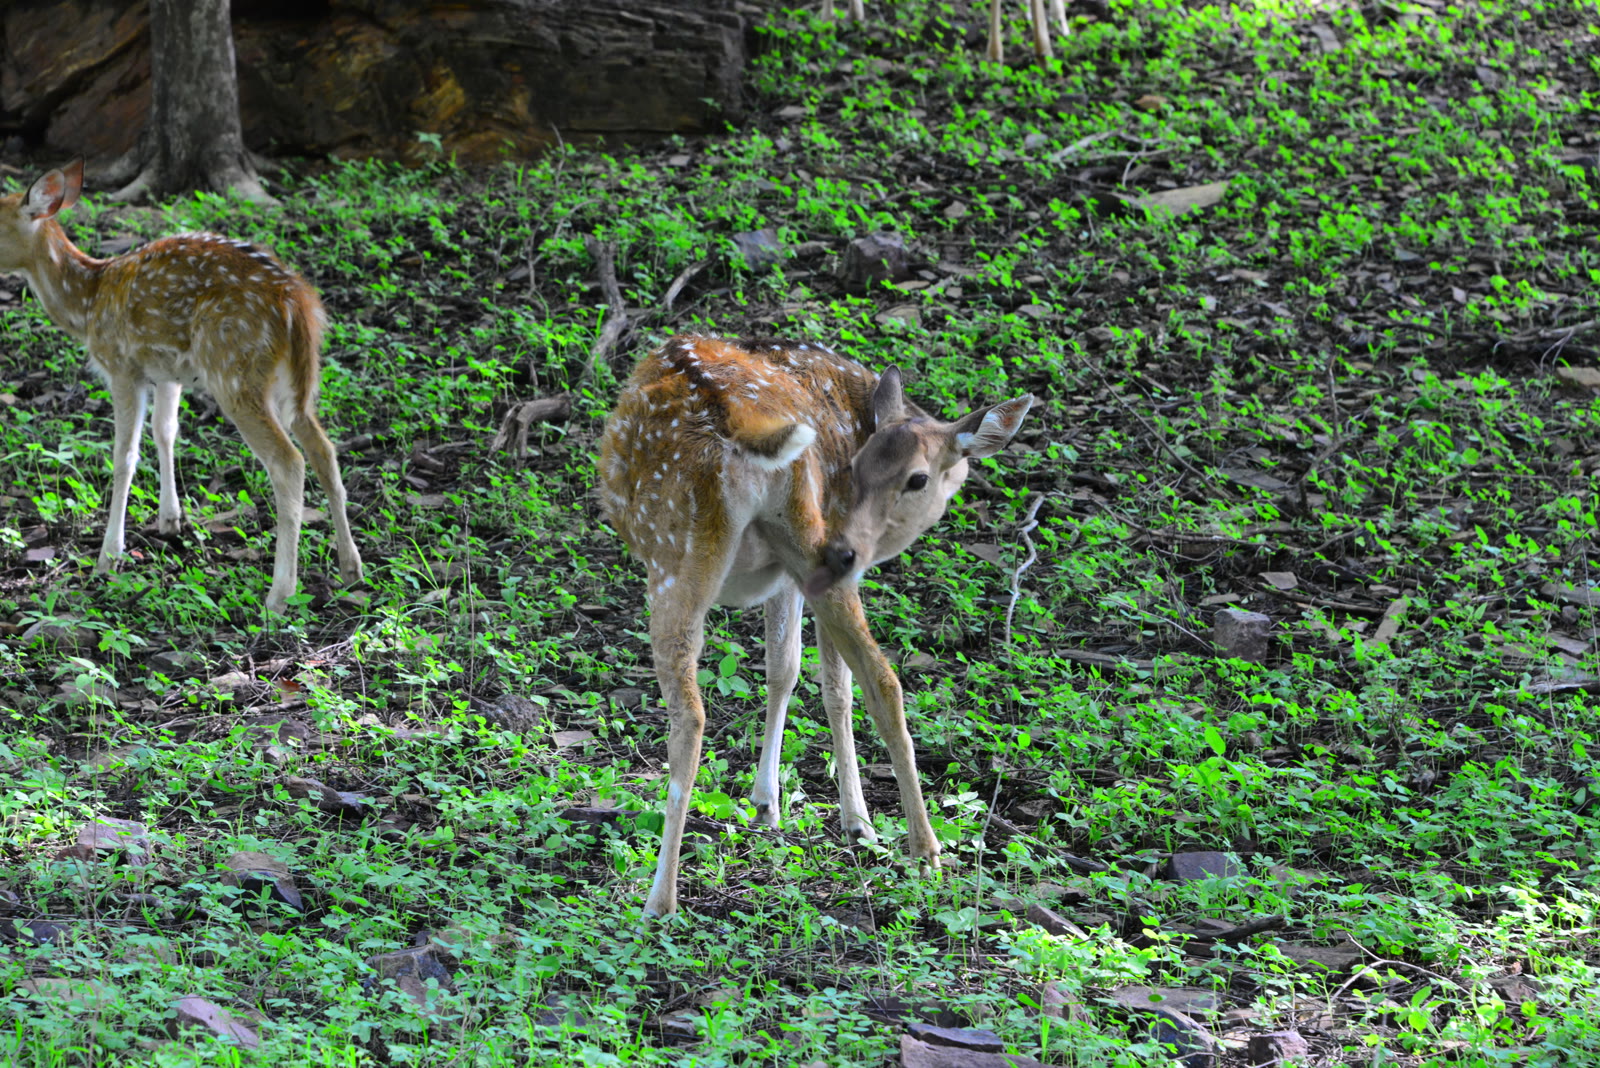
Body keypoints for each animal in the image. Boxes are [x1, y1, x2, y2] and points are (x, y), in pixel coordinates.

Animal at [0, 160, 362, 613]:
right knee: (324, 450)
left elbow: (124, 456)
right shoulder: (167, 371)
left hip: (235, 372)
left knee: (288, 463)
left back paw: (279, 595)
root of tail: (298, 303)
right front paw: (170, 519)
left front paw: (109, 556)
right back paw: (351, 568)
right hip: (298, 381)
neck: (87, 303)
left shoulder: (122, 367)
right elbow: (166, 431)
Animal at [598, 335, 1034, 918]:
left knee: (690, 714)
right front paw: (805, 812)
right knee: (882, 679)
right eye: (858, 466)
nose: (854, 541)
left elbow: (798, 673)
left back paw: (659, 900)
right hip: (805, 541)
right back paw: (925, 853)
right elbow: (799, 674)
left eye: (917, 477)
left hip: (676, 554)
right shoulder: (799, 573)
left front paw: (773, 804)